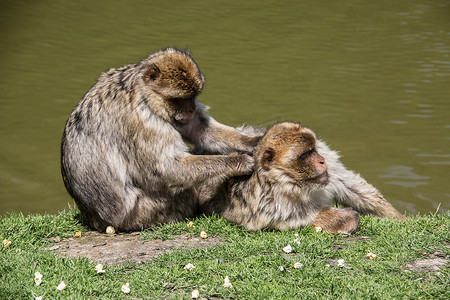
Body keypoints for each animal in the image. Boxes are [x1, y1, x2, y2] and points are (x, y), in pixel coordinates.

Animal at [61, 48, 262, 232]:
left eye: (193, 96)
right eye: (180, 99)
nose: (191, 109)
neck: (144, 93)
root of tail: (97, 222)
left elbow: (199, 129)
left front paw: (254, 141)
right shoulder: (143, 123)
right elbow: (167, 169)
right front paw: (238, 161)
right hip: (145, 212)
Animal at [197, 122, 404, 234]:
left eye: (314, 149)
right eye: (305, 154)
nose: (322, 160)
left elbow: (348, 185)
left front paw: (399, 218)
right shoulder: (263, 200)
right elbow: (285, 219)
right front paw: (345, 218)